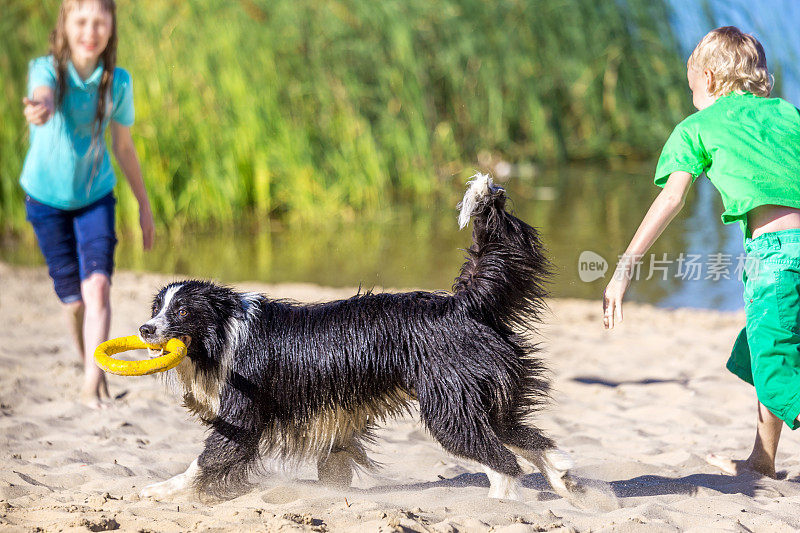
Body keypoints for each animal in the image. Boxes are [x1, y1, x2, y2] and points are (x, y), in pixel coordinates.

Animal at [139, 175, 576, 498]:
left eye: (181, 312)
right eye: (155, 307)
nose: (145, 329)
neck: (223, 332)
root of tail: (461, 305)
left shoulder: (243, 412)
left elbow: (209, 458)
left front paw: (159, 490)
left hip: (449, 407)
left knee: (502, 461)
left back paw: (500, 505)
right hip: (486, 396)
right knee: (526, 438)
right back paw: (565, 484)